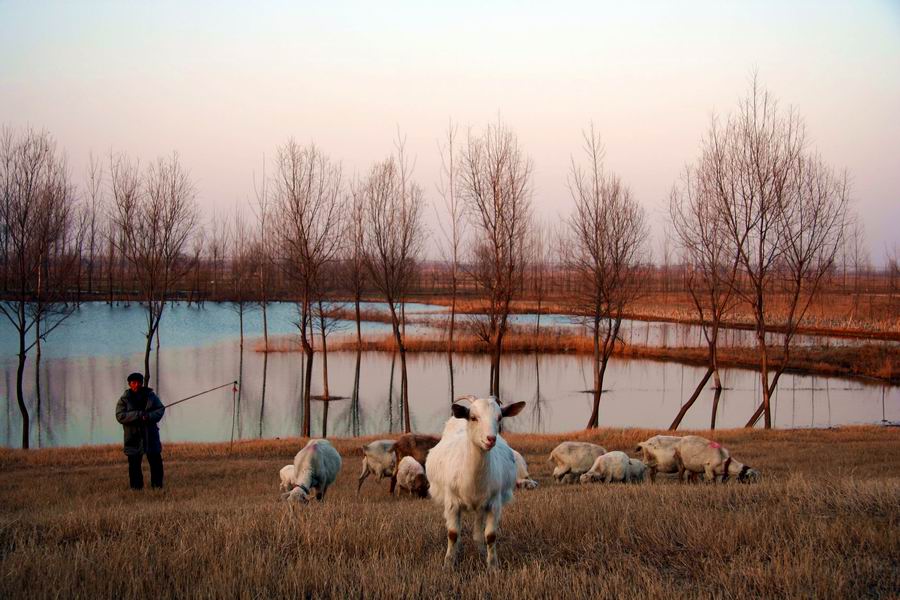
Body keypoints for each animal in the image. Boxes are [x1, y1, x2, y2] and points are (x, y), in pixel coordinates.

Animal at [428, 396, 528, 568]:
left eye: (499, 417)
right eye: (473, 417)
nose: (490, 439)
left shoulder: (494, 503)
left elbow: (491, 536)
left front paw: (492, 565)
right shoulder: (452, 503)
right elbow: (453, 534)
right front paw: (448, 564)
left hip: (481, 506)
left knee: (478, 530)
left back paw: (480, 550)